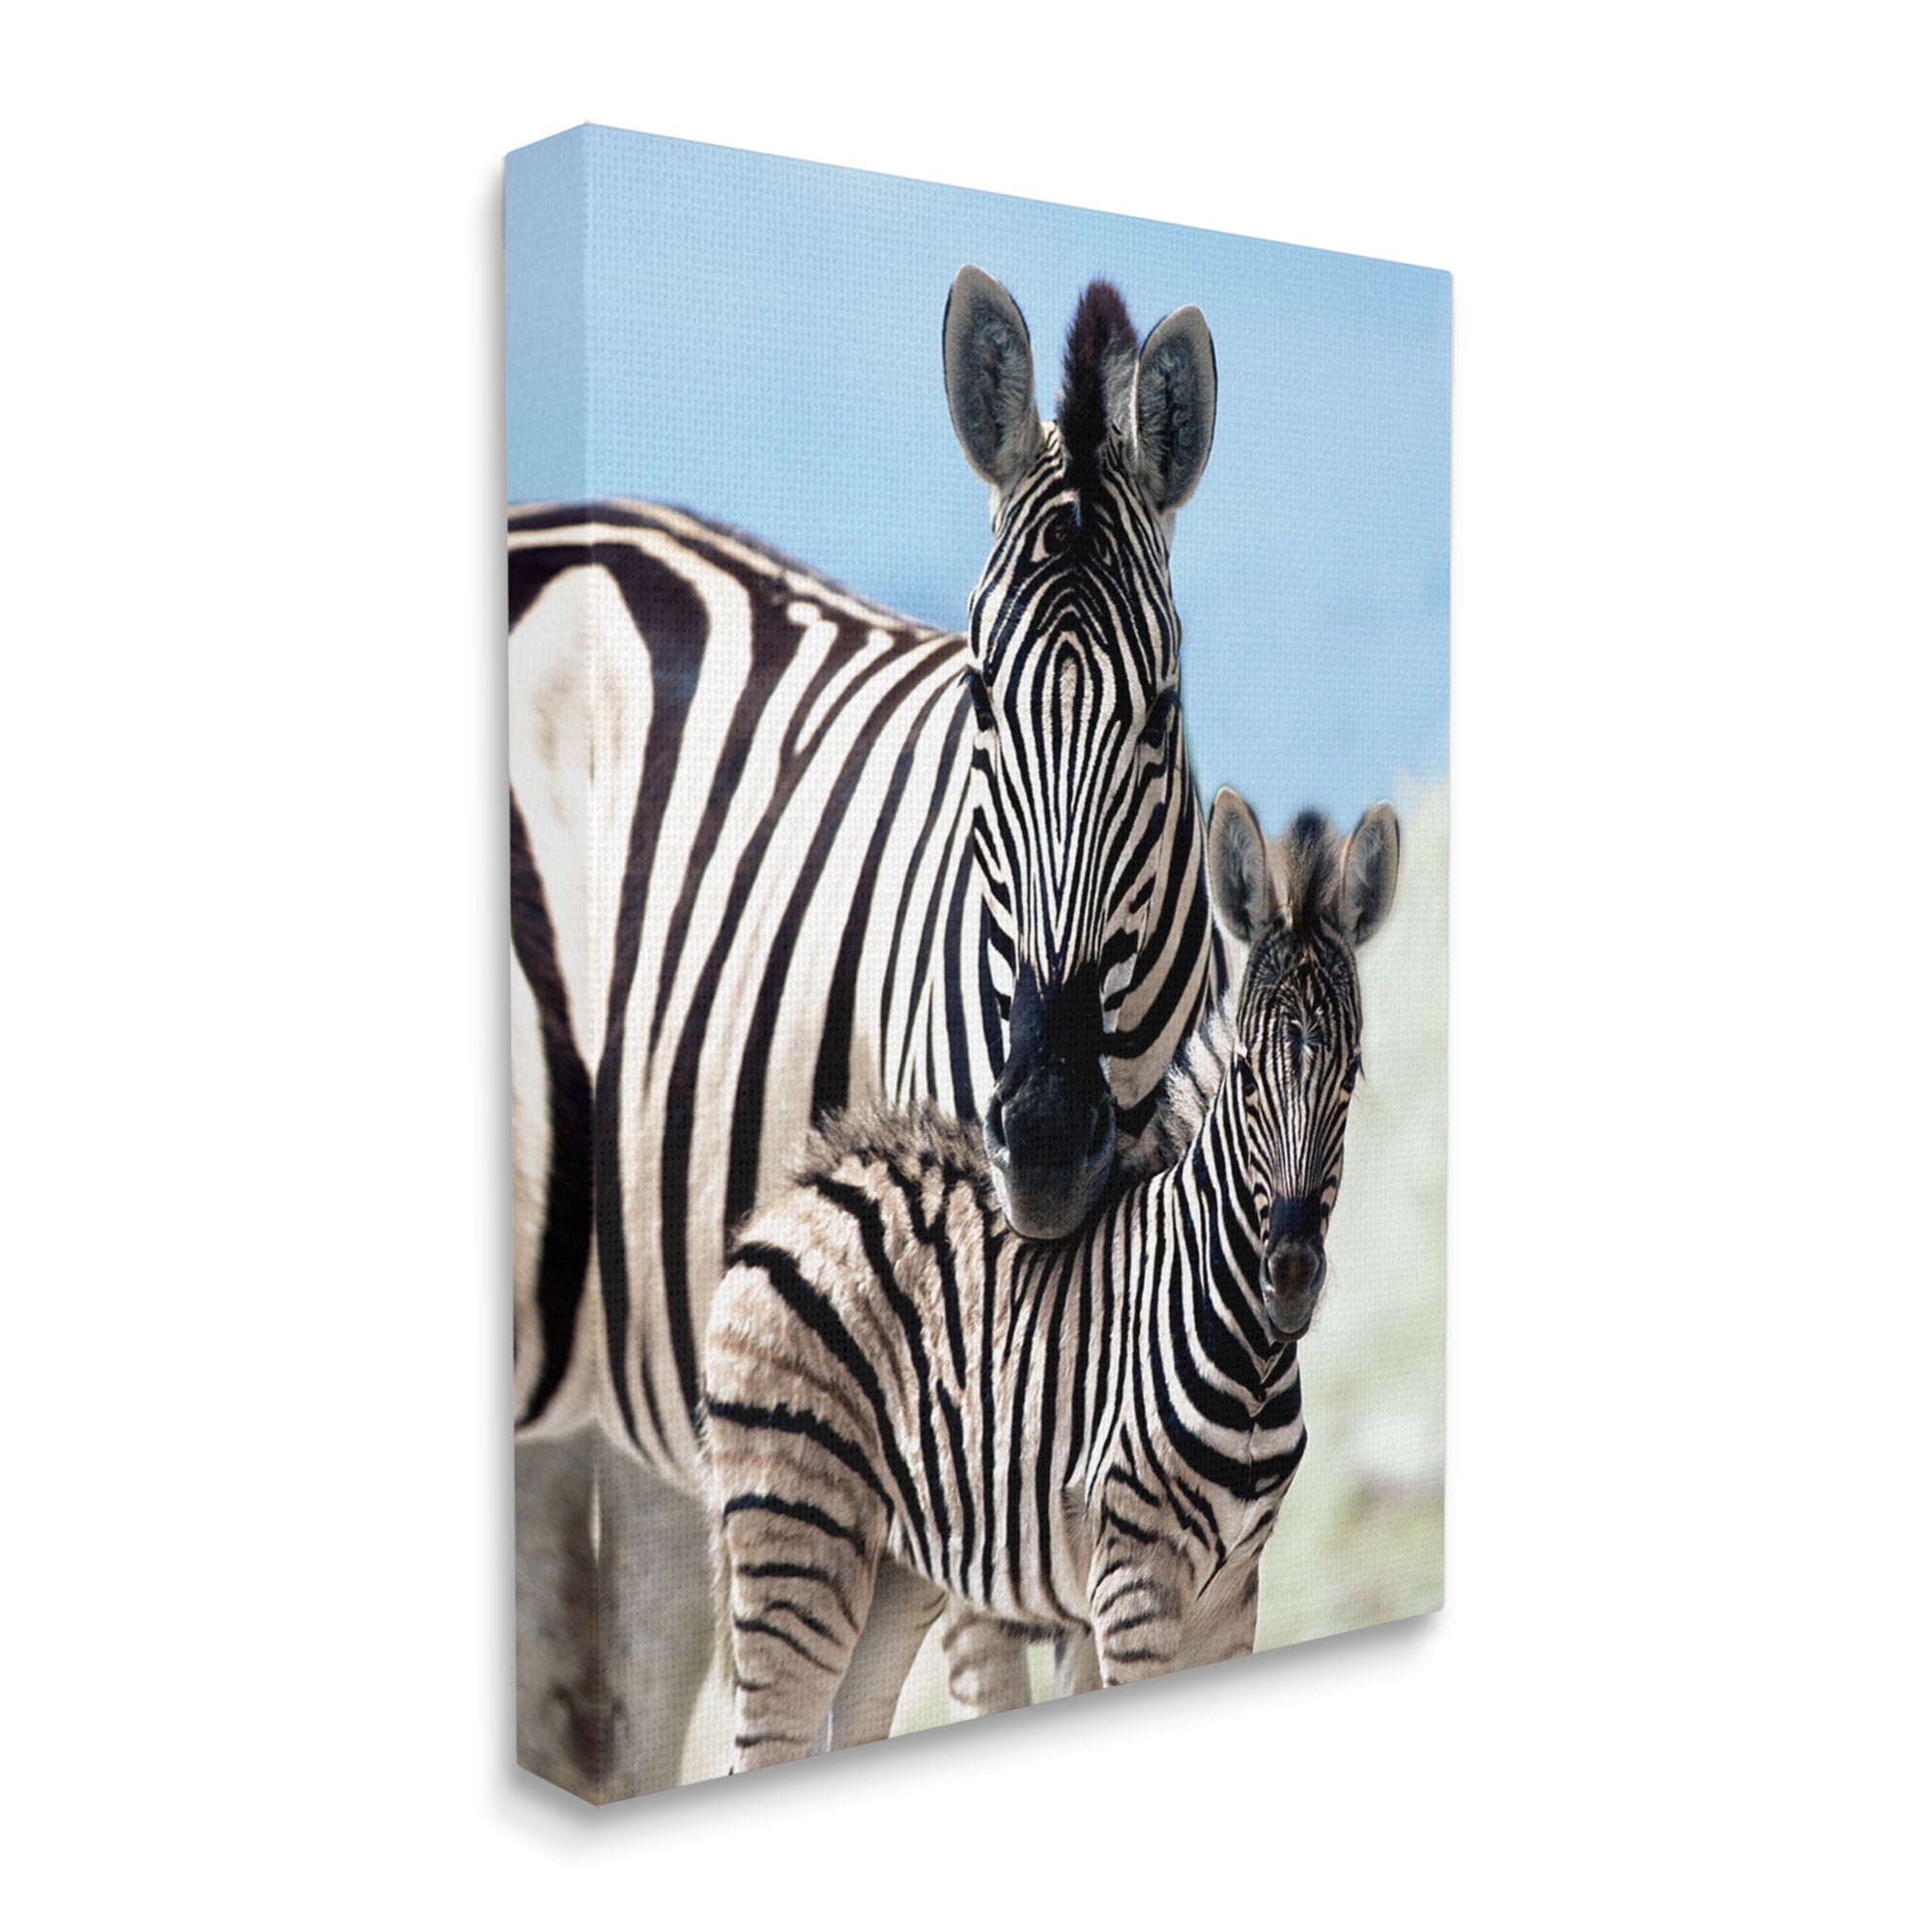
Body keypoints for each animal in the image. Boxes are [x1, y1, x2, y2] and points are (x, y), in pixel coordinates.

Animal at [704, 790, 1400, 1770]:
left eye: (1351, 1075)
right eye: (1246, 1075)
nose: (1292, 1275)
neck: (1249, 1352)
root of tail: (791, 1195)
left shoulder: (1233, 1591)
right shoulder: (1135, 1580)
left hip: (893, 1571)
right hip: (797, 1535)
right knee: (762, 1742)